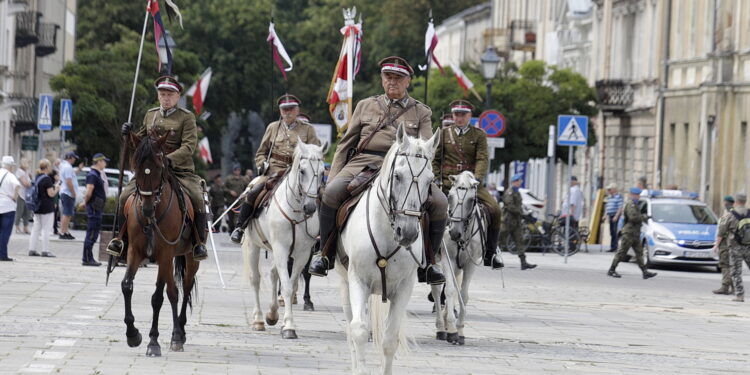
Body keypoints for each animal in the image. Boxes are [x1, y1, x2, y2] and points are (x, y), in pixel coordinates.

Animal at [119, 132, 198, 358]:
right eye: (136, 166)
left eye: (159, 167)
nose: (146, 209)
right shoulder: (134, 251)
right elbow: (126, 286)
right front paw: (132, 334)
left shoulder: (164, 253)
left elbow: (157, 298)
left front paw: (153, 342)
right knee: (174, 292)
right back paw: (176, 335)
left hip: (189, 258)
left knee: (185, 288)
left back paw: (180, 334)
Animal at [244, 141, 326, 340]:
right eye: (302, 171)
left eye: (322, 173)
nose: (310, 207)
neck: (295, 210)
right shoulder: (281, 248)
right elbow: (288, 287)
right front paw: (289, 327)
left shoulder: (302, 253)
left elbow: (293, 283)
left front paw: (284, 322)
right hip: (253, 245)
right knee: (255, 279)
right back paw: (258, 320)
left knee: (274, 274)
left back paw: (272, 314)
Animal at [340, 124, 440, 375]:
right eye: (397, 176)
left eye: (430, 180)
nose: (409, 233)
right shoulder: (358, 280)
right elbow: (358, 330)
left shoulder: (404, 287)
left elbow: (389, 339)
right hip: (344, 281)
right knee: (351, 327)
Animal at [432, 172, 484, 346]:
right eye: (450, 196)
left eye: (471, 200)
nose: (454, 232)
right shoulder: (447, 260)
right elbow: (449, 290)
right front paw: (453, 330)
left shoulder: (470, 264)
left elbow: (463, 294)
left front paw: (460, 330)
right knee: (436, 290)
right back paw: (441, 327)